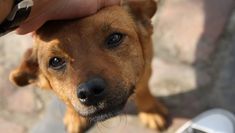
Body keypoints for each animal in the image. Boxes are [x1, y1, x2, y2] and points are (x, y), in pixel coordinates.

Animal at [9, 0, 169, 132]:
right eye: (55, 61)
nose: (90, 91)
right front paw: (75, 117)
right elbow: (69, 102)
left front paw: (150, 111)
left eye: (114, 38)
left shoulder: (146, 65)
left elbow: (142, 88)